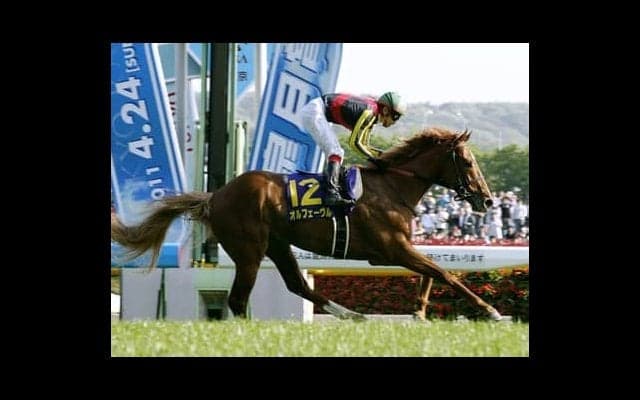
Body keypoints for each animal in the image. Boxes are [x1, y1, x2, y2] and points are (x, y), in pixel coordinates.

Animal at [111, 127, 505, 321]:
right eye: (468, 163)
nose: (487, 200)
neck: (393, 186)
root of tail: (215, 196)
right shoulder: (393, 248)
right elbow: (445, 273)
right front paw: (491, 311)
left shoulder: (397, 250)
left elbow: (433, 272)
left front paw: (419, 310)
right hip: (249, 250)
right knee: (238, 300)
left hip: (277, 244)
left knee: (297, 284)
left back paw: (351, 315)